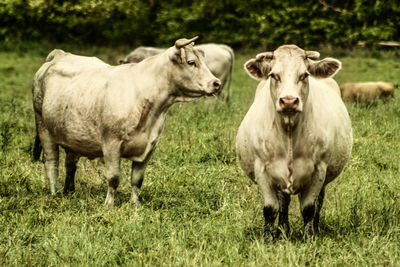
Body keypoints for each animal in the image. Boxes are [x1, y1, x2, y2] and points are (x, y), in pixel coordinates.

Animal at [32, 36, 222, 206]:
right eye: (191, 62)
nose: (216, 83)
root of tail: (59, 54)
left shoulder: (150, 145)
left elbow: (137, 179)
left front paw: (136, 204)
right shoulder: (111, 143)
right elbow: (114, 177)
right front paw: (109, 204)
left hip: (72, 135)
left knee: (70, 164)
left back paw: (69, 191)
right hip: (43, 127)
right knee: (52, 163)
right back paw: (55, 193)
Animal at [236, 45, 352, 242]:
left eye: (304, 75)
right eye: (274, 75)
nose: (289, 101)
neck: (289, 133)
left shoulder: (319, 170)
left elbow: (309, 208)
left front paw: (309, 238)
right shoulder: (262, 170)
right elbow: (270, 209)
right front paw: (268, 239)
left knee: (318, 202)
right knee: (284, 202)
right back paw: (283, 230)